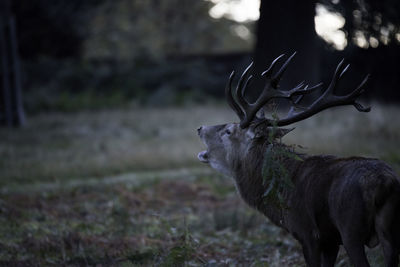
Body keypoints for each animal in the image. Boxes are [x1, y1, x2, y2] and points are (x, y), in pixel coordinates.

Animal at [196, 52, 400, 267]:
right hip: (390, 231)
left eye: (229, 131)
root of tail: (385, 184)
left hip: (350, 228)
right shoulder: (330, 241)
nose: (200, 128)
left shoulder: (308, 233)